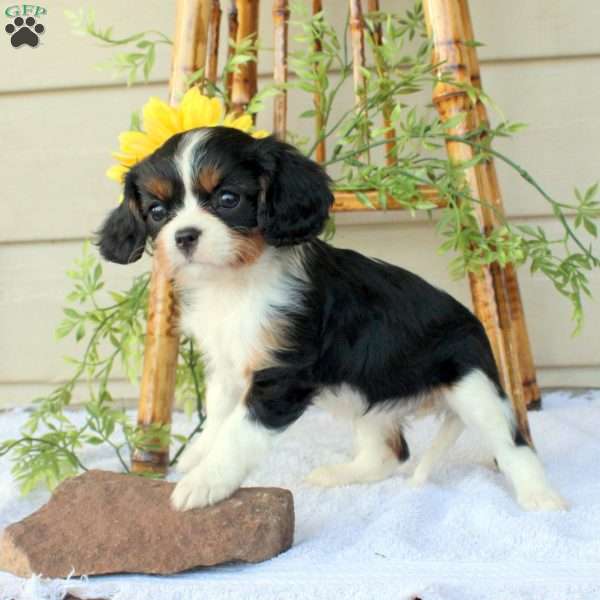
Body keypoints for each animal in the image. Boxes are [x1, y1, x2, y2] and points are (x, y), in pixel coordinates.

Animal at [98, 125, 568, 510]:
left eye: (228, 199)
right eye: (157, 212)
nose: (184, 237)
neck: (235, 283)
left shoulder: (281, 378)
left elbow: (238, 433)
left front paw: (205, 481)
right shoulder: (229, 368)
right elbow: (218, 415)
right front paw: (199, 454)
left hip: (474, 387)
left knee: (515, 444)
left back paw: (542, 500)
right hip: (363, 393)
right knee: (390, 452)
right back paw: (338, 475)